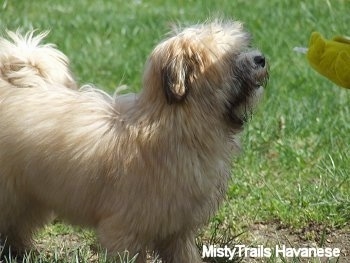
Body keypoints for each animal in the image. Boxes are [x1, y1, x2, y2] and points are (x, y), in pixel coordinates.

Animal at [0, 21, 268, 263]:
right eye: (231, 57)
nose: (261, 58)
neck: (174, 122)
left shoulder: (176, 229)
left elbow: (184, 254)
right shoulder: (124, 227)